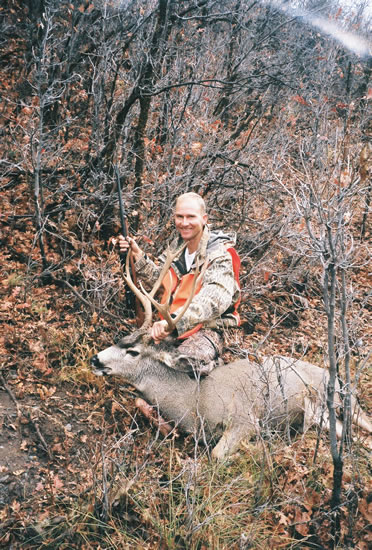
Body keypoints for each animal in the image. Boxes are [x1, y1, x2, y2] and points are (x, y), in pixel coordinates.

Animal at [91, 247, 372, 462]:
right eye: (119, 339)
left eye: (133, 351)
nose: (95, 359)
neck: (196, 401)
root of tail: (336, 377)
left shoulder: (245, 418)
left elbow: (217, 454)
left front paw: (258, 450)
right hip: (326, 418)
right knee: (354, 437)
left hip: (347, 402)